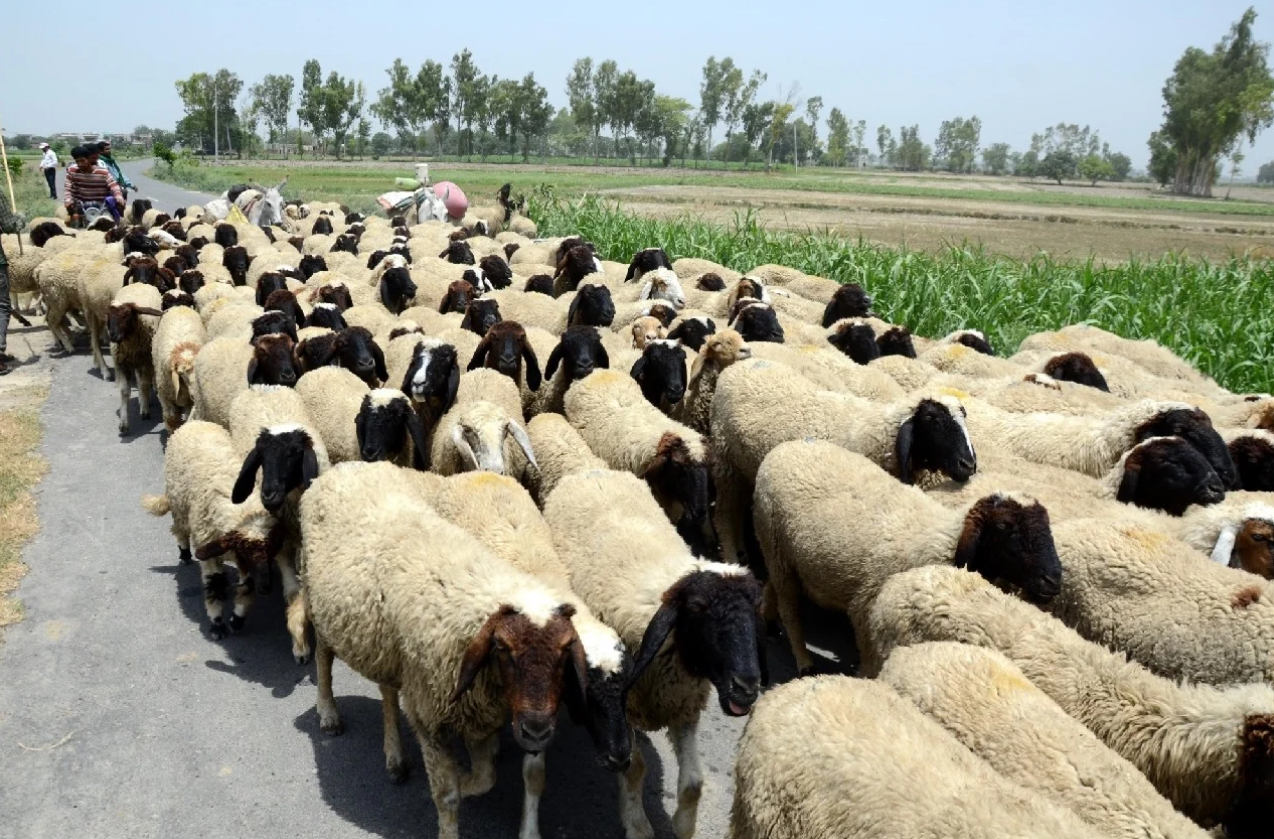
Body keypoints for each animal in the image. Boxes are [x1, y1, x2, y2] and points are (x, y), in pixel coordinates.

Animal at [141, 421, 284, 639]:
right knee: (179, 530)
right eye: (246, 550)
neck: (242, 509)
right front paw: (217, 624)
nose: (266, 588)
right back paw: (184, 554)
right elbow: (214, 585)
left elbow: (247, 587)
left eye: (272, 550)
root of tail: (193, 422)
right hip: (179, 505)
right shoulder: (212, 551)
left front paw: (237, 620)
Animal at [299, 465, 587, 839]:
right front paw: (451, 797)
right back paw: (328, 713)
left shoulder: (479, 712)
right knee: (323, 658)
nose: (536, 730)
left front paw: (465, 779)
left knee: (387, 690)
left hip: (387, 645)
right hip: (317, 601)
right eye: (502, 647)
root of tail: (344, 467)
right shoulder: (431, 717)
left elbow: (486, 777)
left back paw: (395, 757)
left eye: (566, 650)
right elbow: (448, 795)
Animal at [543, 469, 763, 839]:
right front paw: (637, 824)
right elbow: (634, 767)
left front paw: (683, 825)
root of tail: (588, 469)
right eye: (697, 608)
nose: (746, 688)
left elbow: (693, 783)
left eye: (756, 612)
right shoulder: (623, 705)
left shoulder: (684, 708)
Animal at [710, 359, 976, 566]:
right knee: (723, 513)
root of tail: (737, 366)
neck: (876, 433)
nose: (969, 465)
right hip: (724, 459)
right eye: (932, 419)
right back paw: (731, 558)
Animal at [754, 439, 1060, 675]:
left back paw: (767, 618)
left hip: (780, 552)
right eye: (1006, 528)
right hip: (775, 543)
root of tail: (785, 447)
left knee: (772, 584)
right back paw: (804, 661)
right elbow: (870, 662)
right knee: (790, 608)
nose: (1054, 580)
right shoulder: (866, 610)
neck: (945, 538)